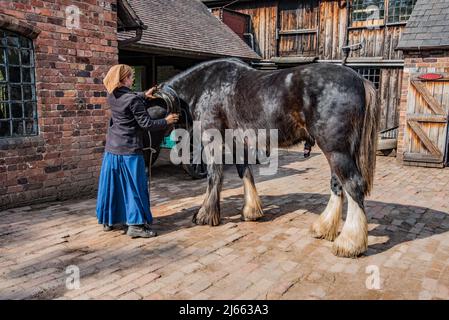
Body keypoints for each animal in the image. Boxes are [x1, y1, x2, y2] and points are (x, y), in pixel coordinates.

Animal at [161, 58, 378, 258]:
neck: (205, 84)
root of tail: (360, 80)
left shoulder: (212, 139)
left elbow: (214, 176)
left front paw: (205, 215)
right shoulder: (237, 142)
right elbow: (245, 172)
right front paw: (251, 211)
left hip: (336, 149)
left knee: (353, 184)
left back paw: (349, 243)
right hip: (337, 151)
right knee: (337, 184)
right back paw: (324, 228)